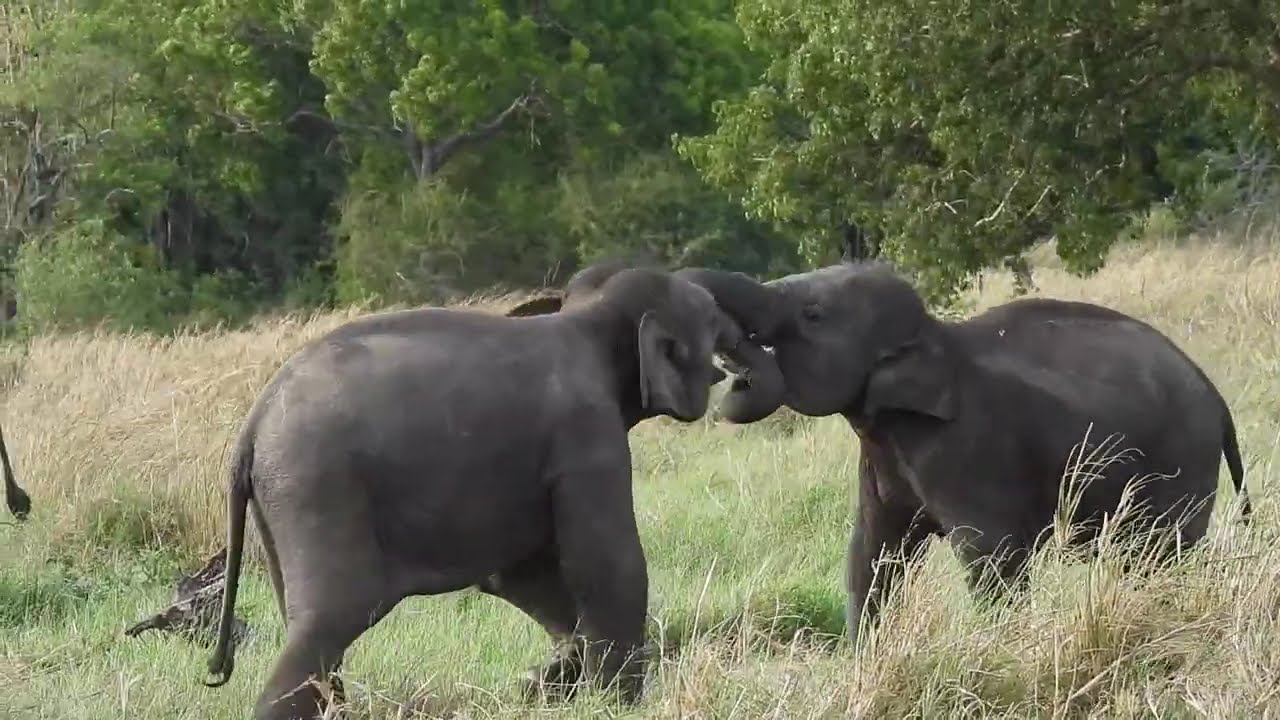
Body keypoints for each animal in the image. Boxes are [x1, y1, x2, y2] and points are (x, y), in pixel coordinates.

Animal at [203, 266, 781, 720]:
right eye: (710, 318)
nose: (739, 363)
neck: (586, 316)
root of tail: (251, 428)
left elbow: (521, 573)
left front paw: (552, 680)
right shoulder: (586, 435)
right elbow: (606, 564)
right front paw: (614, 703)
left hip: (282, 503)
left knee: (310, 629)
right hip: (320, 487)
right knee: (329, 624)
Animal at [682, 261, 1252, 641]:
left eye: (812, 314)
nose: (731, 368)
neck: (934, 338)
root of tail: (1217, 397)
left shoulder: (966, 449)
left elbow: (989, 556)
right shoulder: (883, 453)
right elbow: (872, 551)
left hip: (1181, 460)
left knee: (1164, 550)